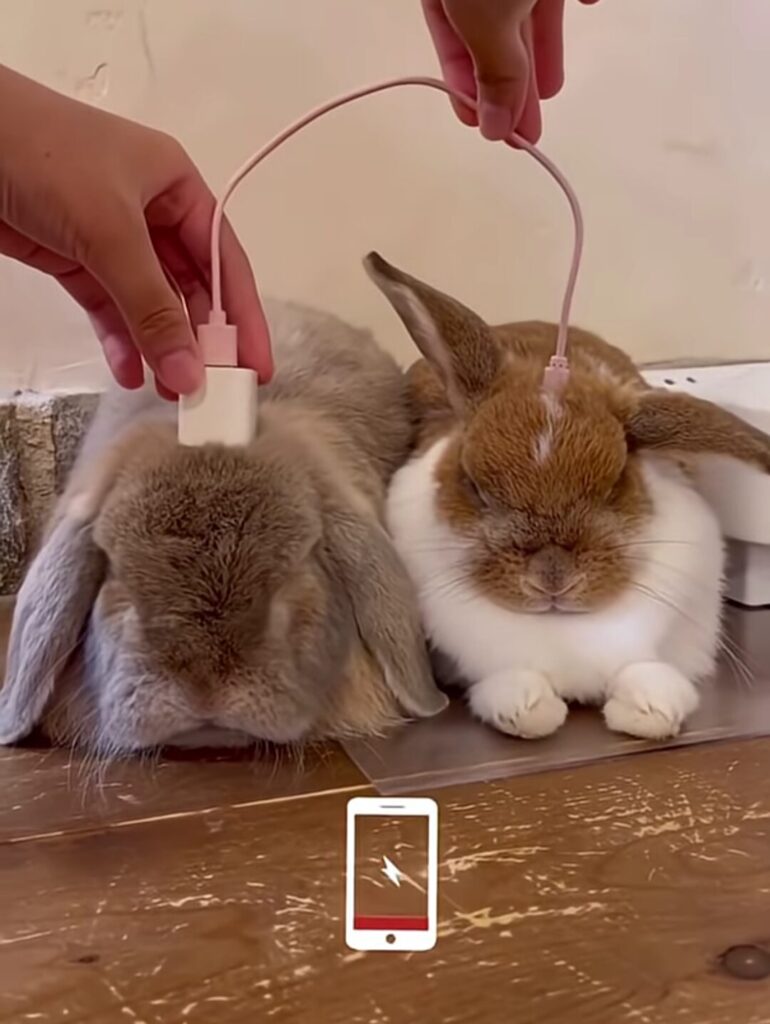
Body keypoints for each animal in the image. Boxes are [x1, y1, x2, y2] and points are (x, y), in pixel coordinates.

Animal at [365, 252, 770, 742]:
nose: (552, 576)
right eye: (473, 484)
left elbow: (645, 672)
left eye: (617, 483)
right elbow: (507, 682)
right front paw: (529, 709)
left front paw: (651, 711)